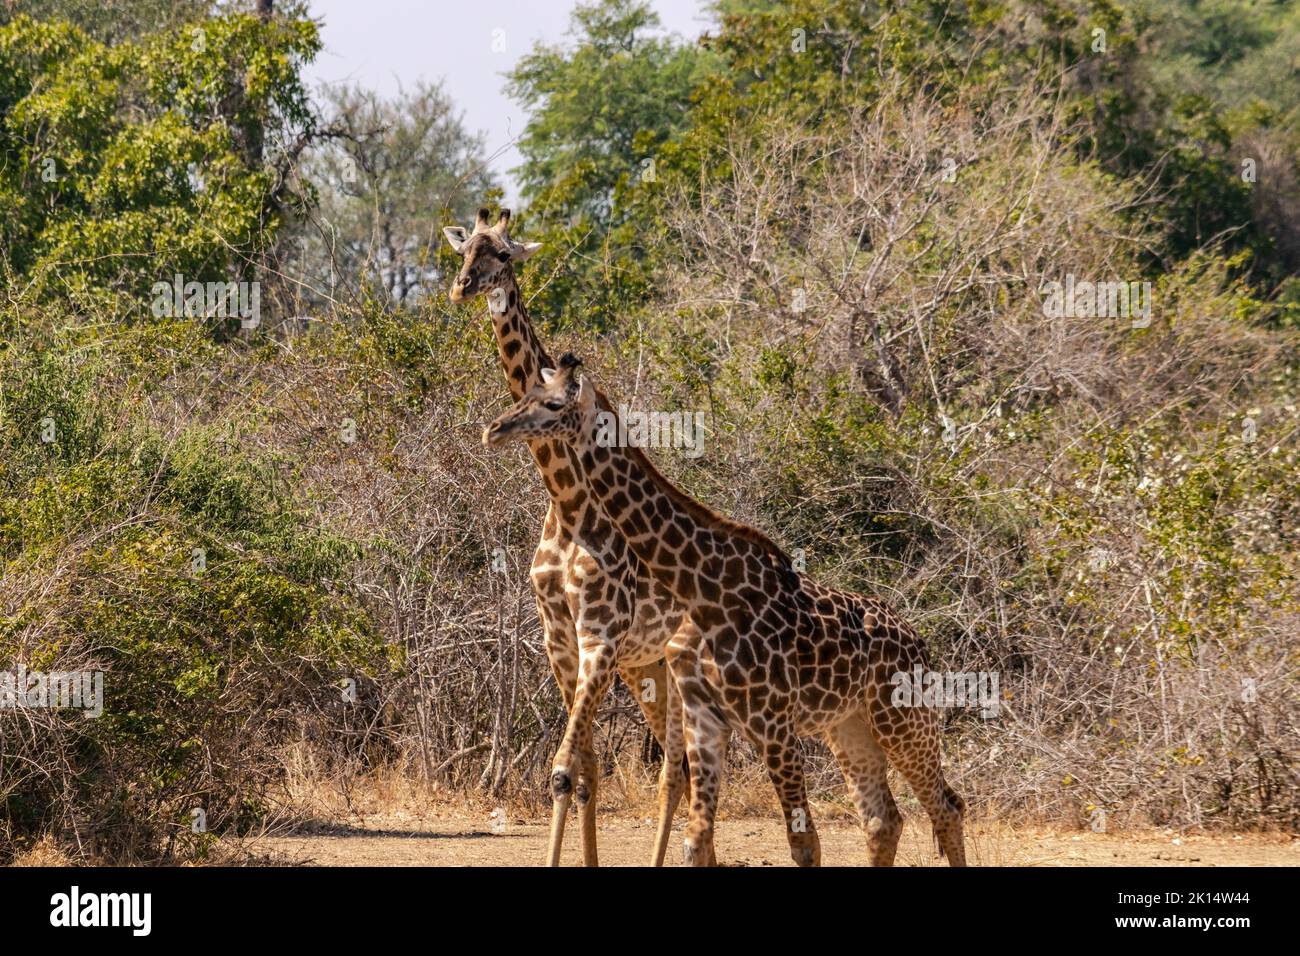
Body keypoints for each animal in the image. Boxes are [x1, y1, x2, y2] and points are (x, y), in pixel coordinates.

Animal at [443, 208, 690, 866]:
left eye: (505, 254)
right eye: (465, 249)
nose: (462, 288)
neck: (563, 501)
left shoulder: (596, 636)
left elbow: (563, 769)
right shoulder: (560, 637)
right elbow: (582, 770)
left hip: (676, 662)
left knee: (681, 764)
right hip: (645, 665)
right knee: (674, 763)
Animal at [482, 353, 968, 867]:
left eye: (554, 403)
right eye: (527, 393)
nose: (494, 430)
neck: (705, 592)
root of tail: (920, 644)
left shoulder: (773, 725)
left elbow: (804, 843)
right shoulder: (706, 720)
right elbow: (695, 840)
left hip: (904, 720)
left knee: (946, 806)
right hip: (850, 727)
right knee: (882, 819)